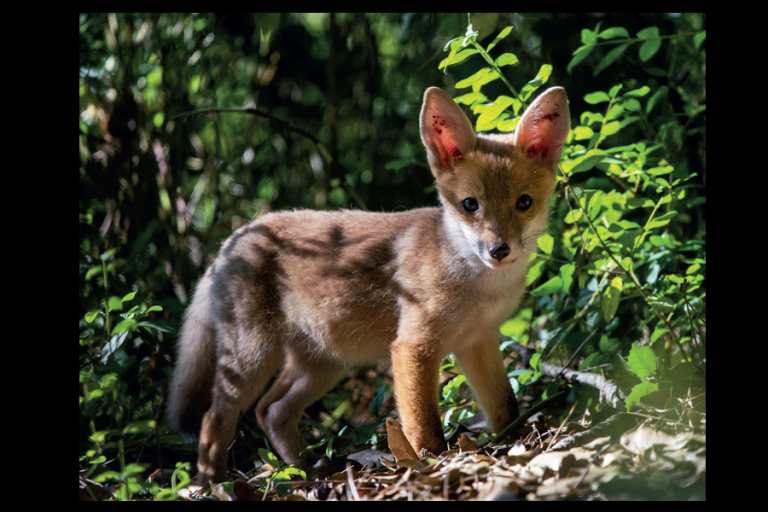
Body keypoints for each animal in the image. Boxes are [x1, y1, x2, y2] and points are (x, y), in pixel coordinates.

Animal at [167, 86, 570, 487]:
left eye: (524, 203)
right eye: (470, 205)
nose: (498, 250)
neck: (478, 288)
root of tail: (237, 236)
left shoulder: (478, 341)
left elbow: (506, 406)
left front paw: (519, 442)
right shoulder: (413, 347)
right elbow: (424, 428)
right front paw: (431, 467)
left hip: (322, 365)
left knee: (270, 410)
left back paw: (307, 469)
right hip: (253, 360)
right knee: (214, 420)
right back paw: (214, 484)